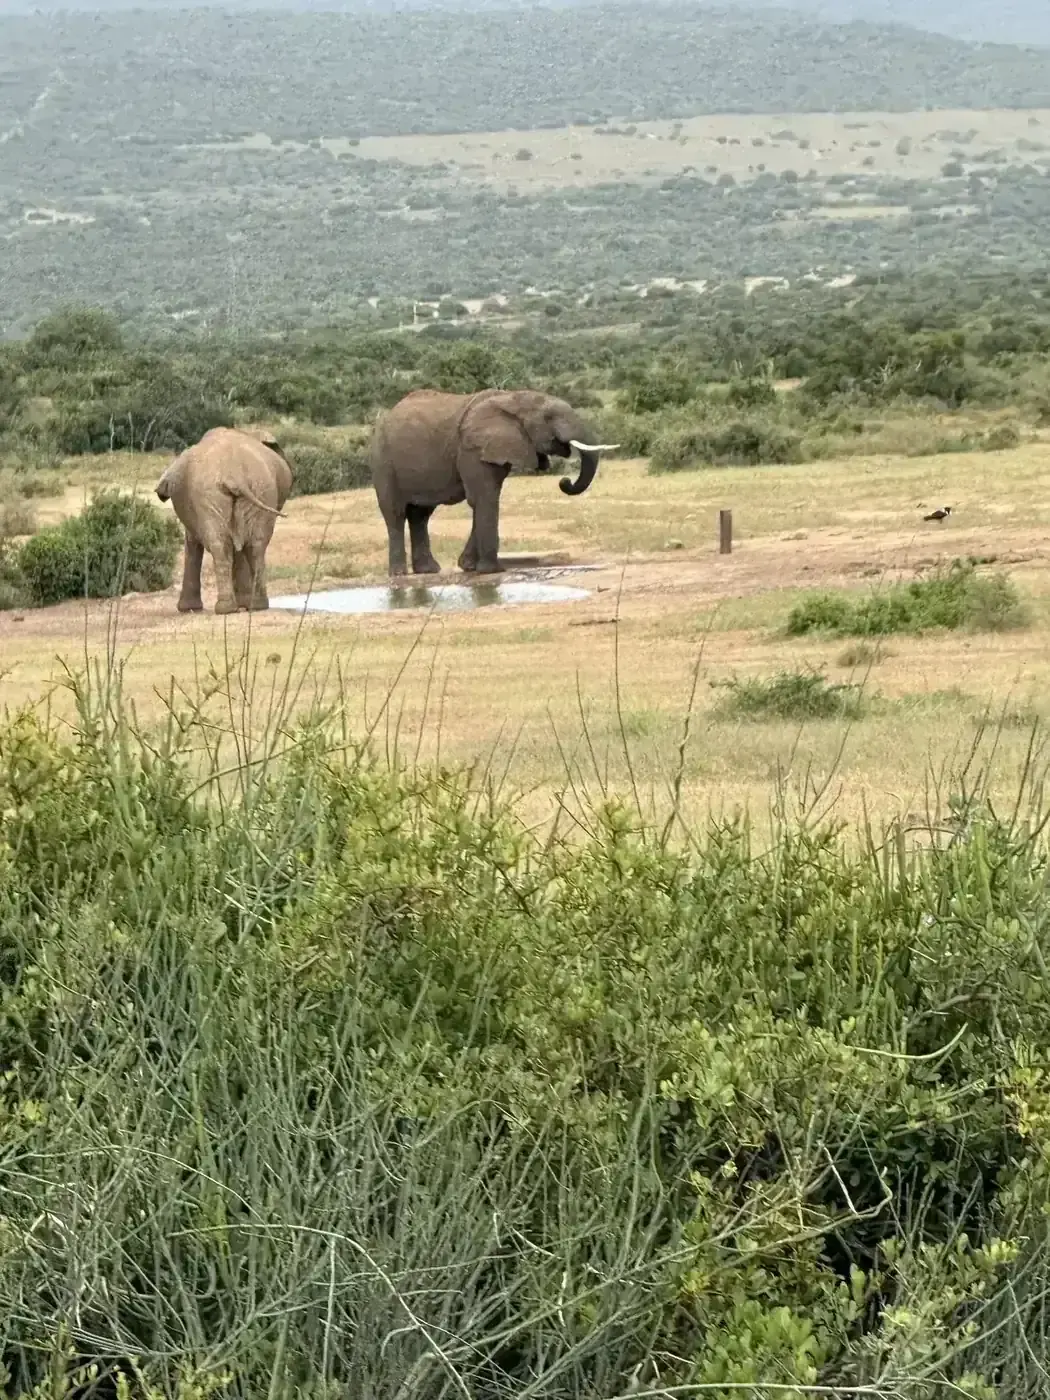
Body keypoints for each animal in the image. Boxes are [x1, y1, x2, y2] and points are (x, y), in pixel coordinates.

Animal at [155, 426, 293, 614]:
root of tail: (234, 475)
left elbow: (194, 542)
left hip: (212, 494)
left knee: (221, 545)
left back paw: (227, 608)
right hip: (258, 489)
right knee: (255, 546)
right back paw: (255, 606)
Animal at [368, 388, 618, 577]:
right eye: (548, 417)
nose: (564, 481)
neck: (513, 397)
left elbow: (486, 499)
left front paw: (469, 567)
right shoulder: (472, 449)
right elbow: (484, 498)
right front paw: (492, 570)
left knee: (420, 515)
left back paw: (428, 571)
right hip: (383, 461)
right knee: (396, 513)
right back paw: (399, 574)